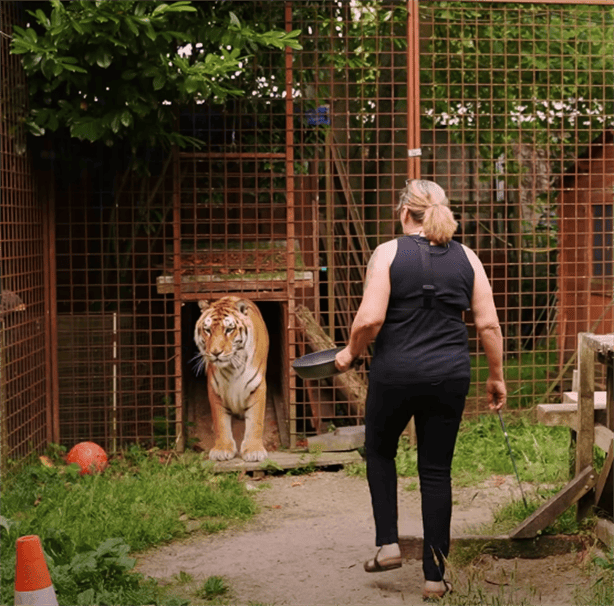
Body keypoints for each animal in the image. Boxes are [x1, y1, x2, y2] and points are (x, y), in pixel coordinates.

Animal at [192, 296, 270, 464]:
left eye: (229, 329)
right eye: (208, 330)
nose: (215, 352)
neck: (233, 367)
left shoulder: (257, 386)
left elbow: (255, 420)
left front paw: (254, 451)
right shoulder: (215, 389)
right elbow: (220, 422)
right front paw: (222, 450)